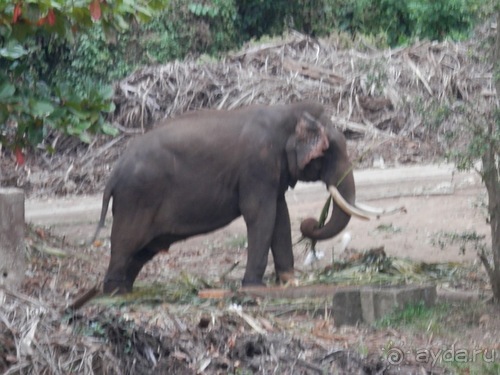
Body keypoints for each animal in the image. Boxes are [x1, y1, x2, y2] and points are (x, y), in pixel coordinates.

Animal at [93, 101, 382, 296]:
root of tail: (113, 173)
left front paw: (289, 280)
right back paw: (114, 294)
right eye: (329, 152)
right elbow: (260, 214)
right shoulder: (258, 164)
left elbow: (280, 215)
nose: (311, 223)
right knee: (126, 242)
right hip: (136, 198)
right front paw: (254, 287)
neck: (288, 112)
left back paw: (126, 290)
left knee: (142, 250)